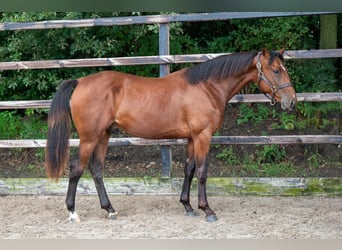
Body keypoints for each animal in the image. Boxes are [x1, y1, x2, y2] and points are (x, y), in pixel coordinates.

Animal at [45, 48, 296, 223]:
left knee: (96, 169)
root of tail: (80, 82)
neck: (207, 87)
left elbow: (189, 169)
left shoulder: (192, 138)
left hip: (104, 135)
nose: (292, 101)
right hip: (89, 137)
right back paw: (73, 213)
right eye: (276, 71)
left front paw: (187, 206)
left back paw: (110, 210)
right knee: (76, 168)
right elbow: (202, 172)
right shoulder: (203, 136)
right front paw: (207, 209)